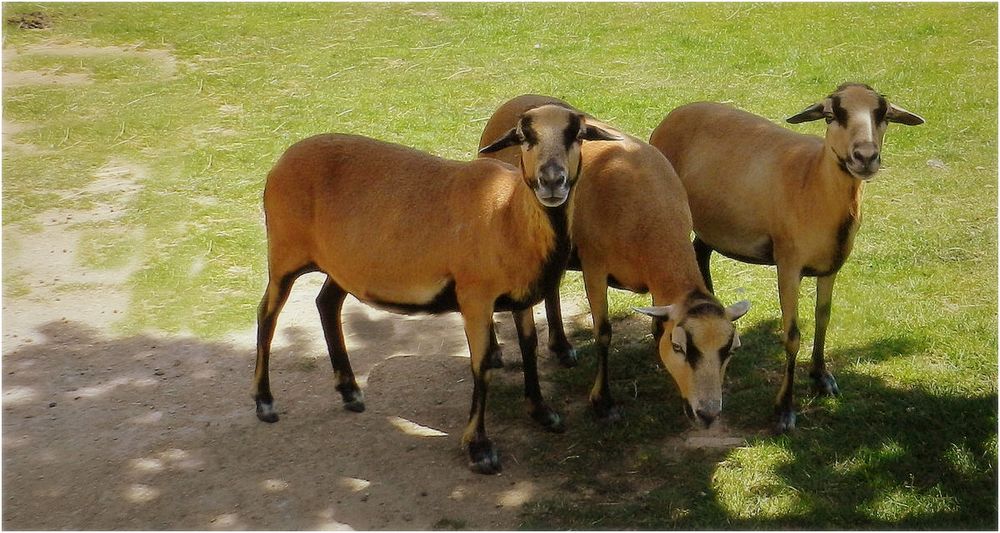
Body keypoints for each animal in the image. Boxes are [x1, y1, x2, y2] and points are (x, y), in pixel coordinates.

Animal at [652, 84, 924, 432]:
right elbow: (792, 335)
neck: (813, 182)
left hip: (714, 224)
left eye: (884, 115)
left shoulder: (831, 266)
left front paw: (822, 377)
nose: (865, 157)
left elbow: (823, 318)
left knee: (701, 251)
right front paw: (784, 409)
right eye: (831, 115)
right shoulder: (788, 265)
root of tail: (677, 112)